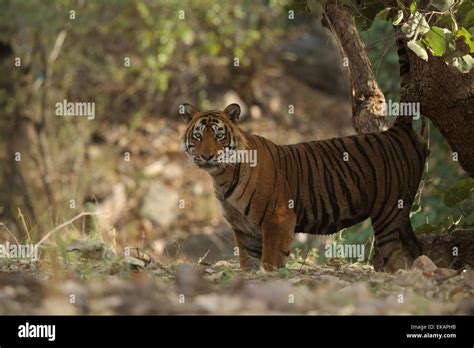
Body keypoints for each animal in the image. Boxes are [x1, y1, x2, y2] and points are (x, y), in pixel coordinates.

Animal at [180, 40, 428, 274]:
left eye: (219, 136)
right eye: (198, 136)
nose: (207, 156)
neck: (222, 176)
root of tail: (397, 130)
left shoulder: (278, 218)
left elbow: (270, 261)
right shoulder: (243, 230)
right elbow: (247, 263)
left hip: (389, 211)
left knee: (394, 254)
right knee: (414, 248)